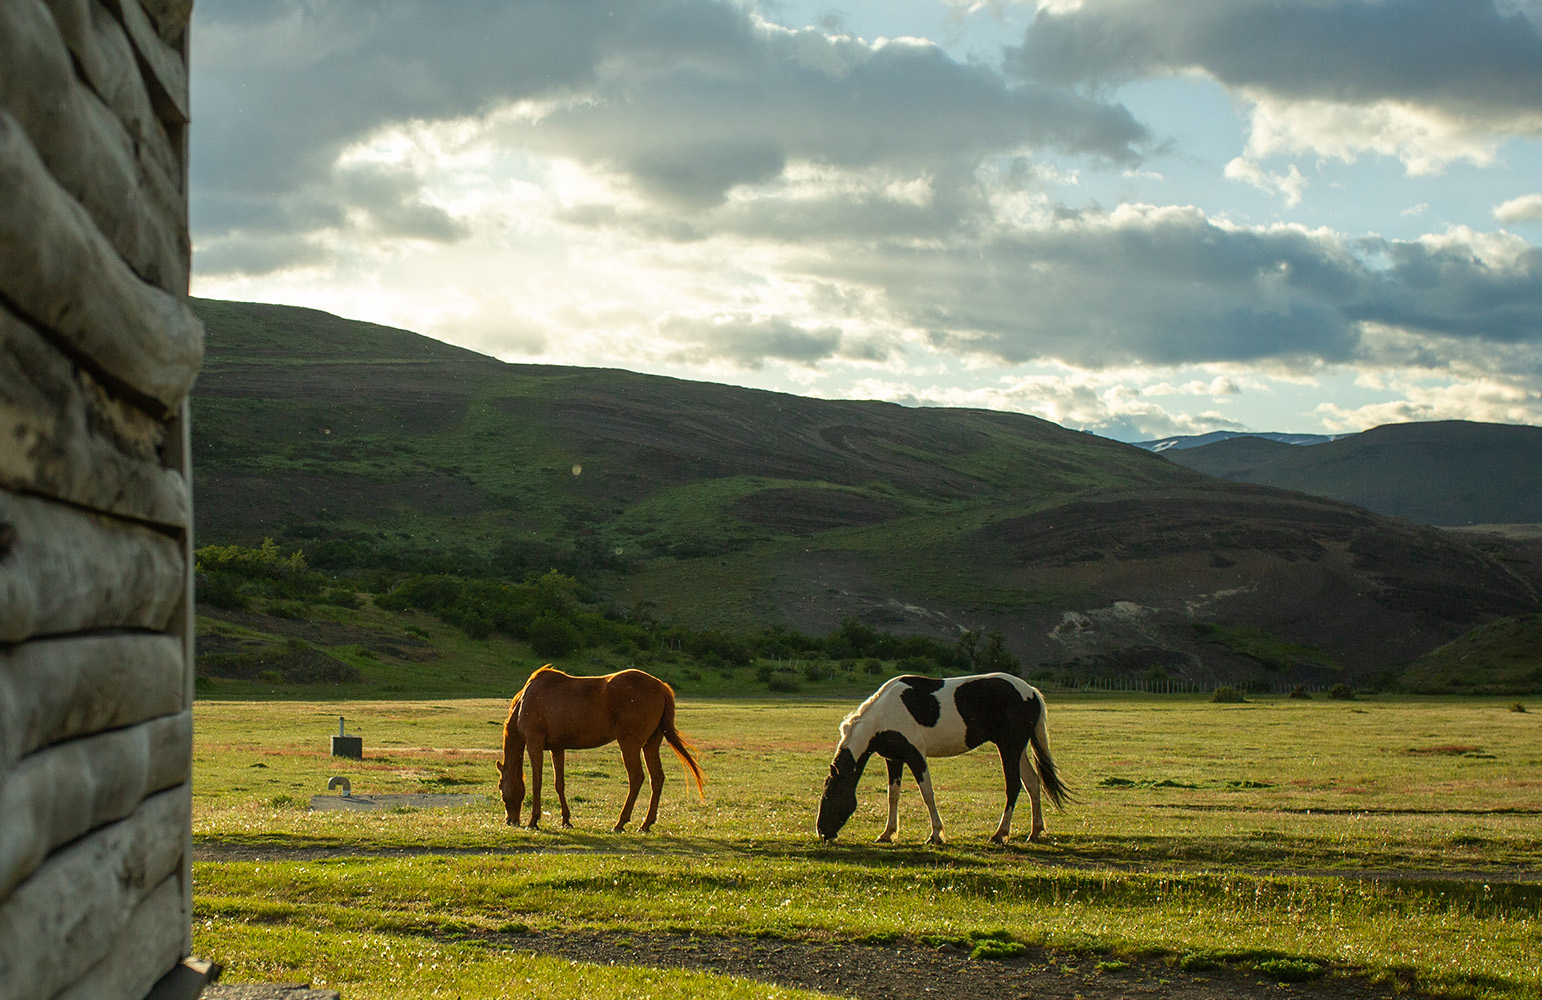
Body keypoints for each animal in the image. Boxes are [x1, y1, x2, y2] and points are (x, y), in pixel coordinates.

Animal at [496, 665, 706, 832]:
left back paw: (620, 823)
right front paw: (566, 820)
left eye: (500, 787)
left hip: (629, 744)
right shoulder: (557, 748)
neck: (525, 702)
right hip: (650, 744)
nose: (510, 821)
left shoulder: (534, 743)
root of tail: (661, 687)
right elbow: (559, 783)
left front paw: (534, 821)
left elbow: (537, 782)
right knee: (657, 778)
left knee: (636, 778)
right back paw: (646, 824)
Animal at [814, 671, 1067, 844]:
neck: (882, 716)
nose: (822, 833)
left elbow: (927, 794)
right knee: (1032, 783)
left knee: (1014, 785)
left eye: (829, 796)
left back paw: (1000, 834)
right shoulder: (894, 759)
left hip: (1009, 748)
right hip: (1017, 749)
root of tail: (1030, 691)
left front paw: (936, 834)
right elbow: (892, 796)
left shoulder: (916, 756)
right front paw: (887, 833)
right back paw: (1035, 831)